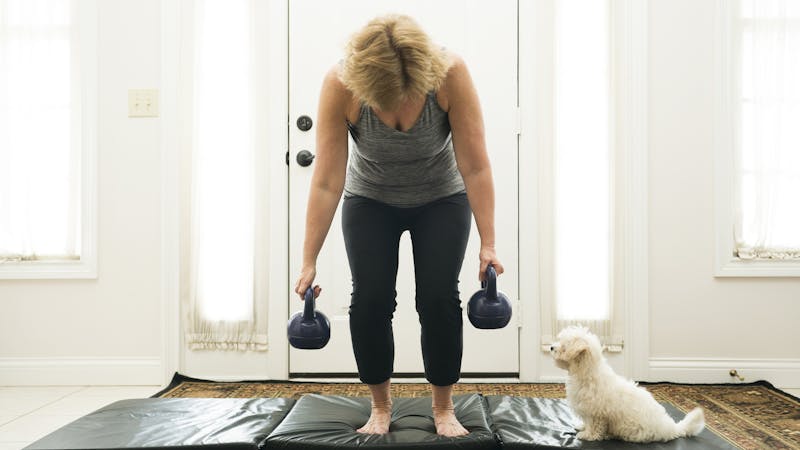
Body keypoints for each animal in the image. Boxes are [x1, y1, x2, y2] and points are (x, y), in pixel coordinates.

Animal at [552, 326, 704, 442]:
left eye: (564, 346)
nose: (552, 347)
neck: (586, 372)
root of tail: (670, 428)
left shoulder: (595, 412)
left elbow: (593, 425)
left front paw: (587, 435)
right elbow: (586, 422)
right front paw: (582, 426)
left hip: (631, 429)